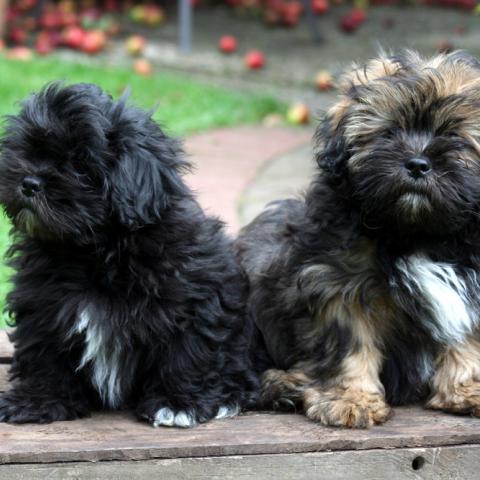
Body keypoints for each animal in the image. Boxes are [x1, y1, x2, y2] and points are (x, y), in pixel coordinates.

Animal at [0, 83, 258, 428]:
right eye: (28, 149)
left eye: (79, 164)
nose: (29, 182)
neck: (93, 252)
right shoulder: (43, 303)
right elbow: (44, 354)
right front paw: (37, 400)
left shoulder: (198, 299)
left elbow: (188, 351)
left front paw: (178, 403)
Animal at [236, 51, 480, 428]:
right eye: (390, 132)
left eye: (453, 134)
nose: (418, 164)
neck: (416, 234)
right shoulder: (337, 284)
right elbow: (348, 343)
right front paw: (350, 399)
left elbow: (466, 338)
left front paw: (467, 388)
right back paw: (286, 384)